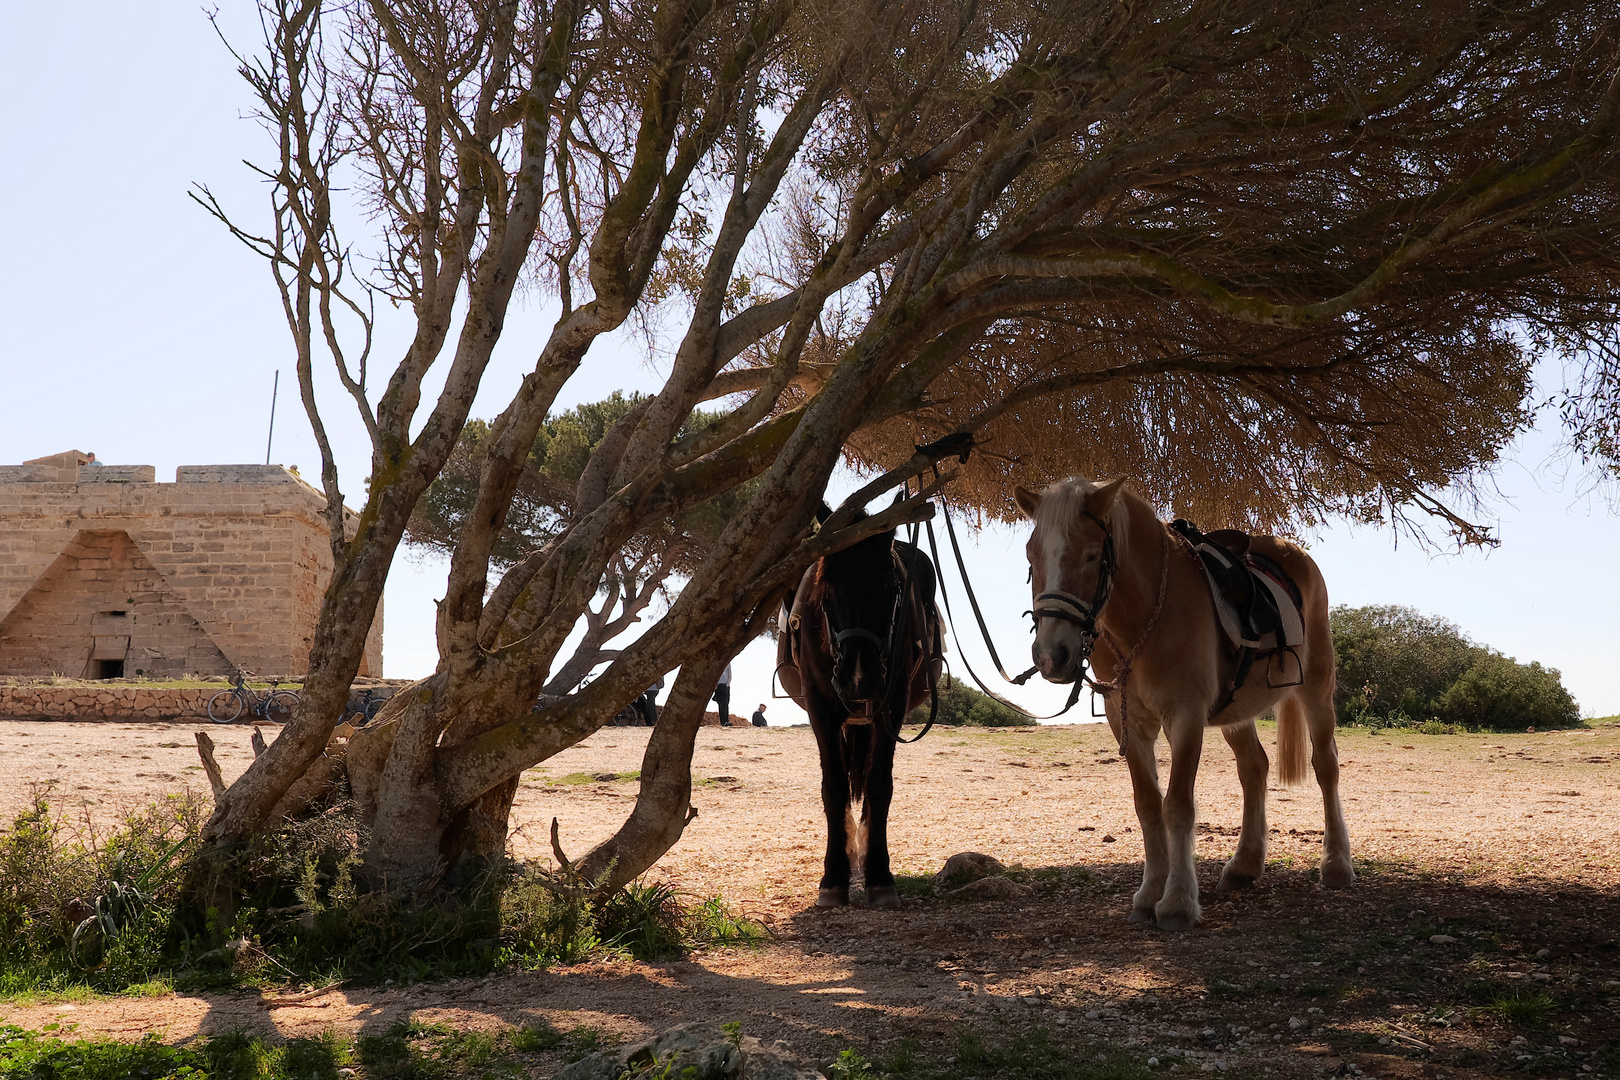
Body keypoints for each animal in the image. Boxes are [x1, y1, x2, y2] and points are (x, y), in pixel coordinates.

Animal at [777, 518, 946, 906]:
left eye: (890, 588)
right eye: (827, 591)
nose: (859, 676)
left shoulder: (891, 705)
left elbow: (879, 784)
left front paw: (879, 876)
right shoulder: (821, 710)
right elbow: (834, 787)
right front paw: (833, 877)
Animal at [1010, 476, 1354, 932]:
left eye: (1091, 555)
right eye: (1031, 555)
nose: (1052, 656)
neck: (1143, 620)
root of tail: (1292, 551)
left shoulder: (1185, 717)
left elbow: (1177, 806)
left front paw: (1176, 901)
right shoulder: (1129, 724)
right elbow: (1148, 805)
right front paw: (1148, 895)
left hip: (1315, 686)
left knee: (1326, 766)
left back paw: (1336, 865)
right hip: (1236, 712)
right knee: (1254, 768)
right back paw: (1244, 865)